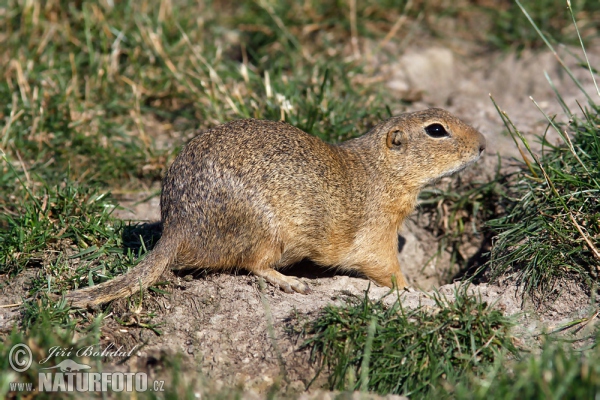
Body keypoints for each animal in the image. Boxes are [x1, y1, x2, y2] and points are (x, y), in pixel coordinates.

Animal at [61, 107, 486, 306]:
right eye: (436, 130)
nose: (483, 144)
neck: (378, 169)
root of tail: (176, 226)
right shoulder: (376, 234)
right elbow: (386, 267)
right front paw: (411, 289)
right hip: (266, 233)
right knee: (253, 265)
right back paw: (290, 281)